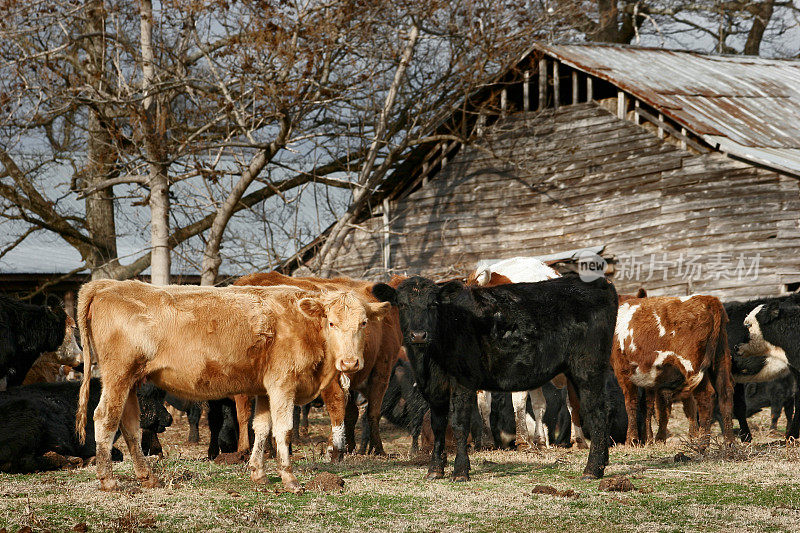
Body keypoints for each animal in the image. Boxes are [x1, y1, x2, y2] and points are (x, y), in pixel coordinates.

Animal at [0, 378, 170, 470]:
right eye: (147, 396)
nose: (168, 418)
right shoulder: (87, 442)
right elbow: (117, 453)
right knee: (20, 460)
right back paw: (71, 461)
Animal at [75, 278, 390, 490]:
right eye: (332, 323)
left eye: (363, 323)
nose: (350, 363)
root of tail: (107, 285)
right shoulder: (282, 384)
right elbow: (283, 430)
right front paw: (289, 478)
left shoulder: (265, 388)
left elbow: (261, 428)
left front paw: (258, 473)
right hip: (117, 375)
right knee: (105, 418)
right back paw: (108, 481)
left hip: (130, 381)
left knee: (129, 425)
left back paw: (147, 476)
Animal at [376, 274, 620, 478]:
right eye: (403, 304)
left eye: (433, 304)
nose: (418, 335)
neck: (428, 361)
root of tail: (599, 283)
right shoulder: (434, 388)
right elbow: (438, 424)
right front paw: (435, 470)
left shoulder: (463, 381)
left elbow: (459, 423)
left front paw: (461, 471)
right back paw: (602, 463)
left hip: (588, 368)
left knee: (597, 412)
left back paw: (592, 469)